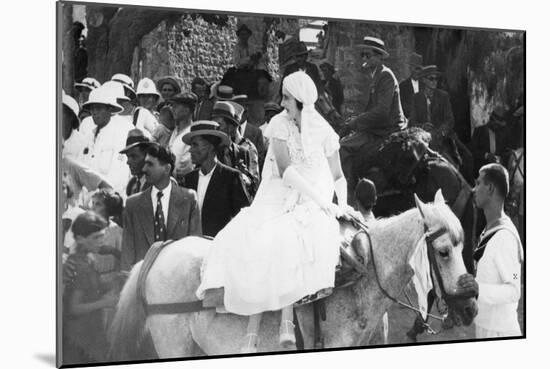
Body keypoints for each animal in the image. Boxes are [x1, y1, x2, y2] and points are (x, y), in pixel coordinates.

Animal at [108, 190, 478, 360]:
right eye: (444, 251)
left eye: (463, 248)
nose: (471, 307)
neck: (359, 274)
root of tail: (162, 250)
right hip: (174, 345)